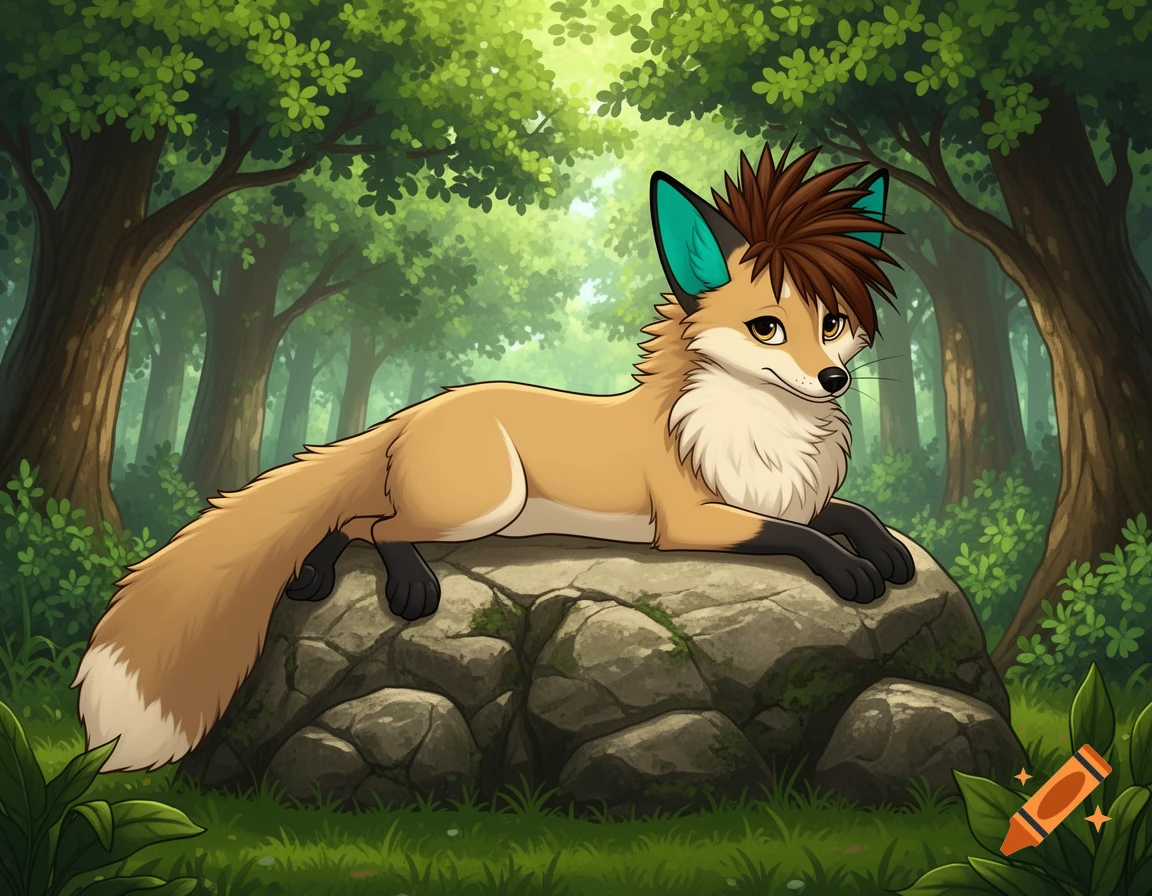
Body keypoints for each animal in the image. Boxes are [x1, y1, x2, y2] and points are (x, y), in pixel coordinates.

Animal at [73, 141, 916, 773]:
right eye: (768, 328)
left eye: (834, 322)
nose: (834, 379)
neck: (766, 438)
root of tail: (415, 410)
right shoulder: (695, 520)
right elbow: (800, 535)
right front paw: (853, 573)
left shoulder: (785, 495)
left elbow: (848, 512)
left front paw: (886, 552)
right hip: (484, 504)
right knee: (372, 526)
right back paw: (407, 583)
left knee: (347, 519)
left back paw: (311, 573)